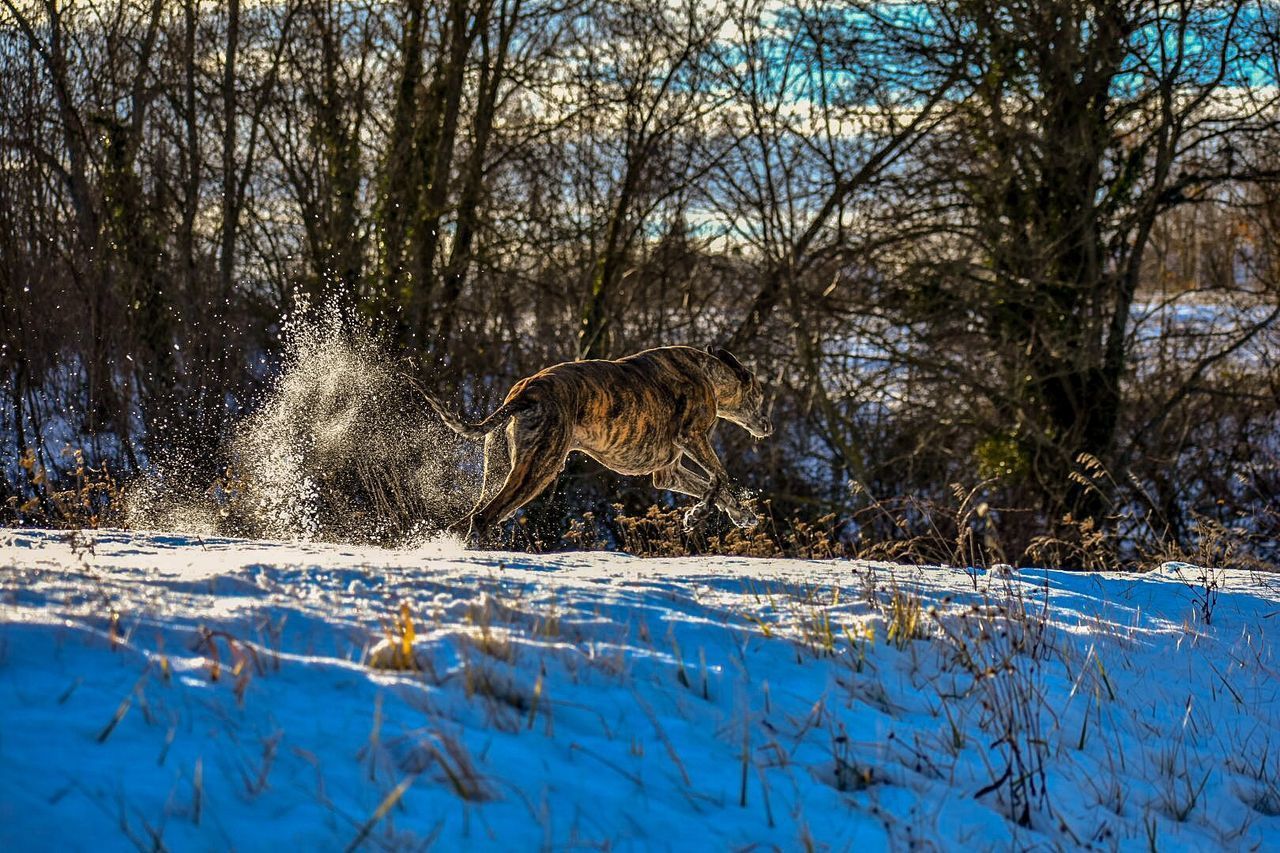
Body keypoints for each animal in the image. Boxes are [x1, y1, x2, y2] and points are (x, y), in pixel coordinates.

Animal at [419, 343, 768, 537]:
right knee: (482, 518)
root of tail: (526, 391)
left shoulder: (668, 473)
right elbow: (720, 478)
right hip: (539, 468)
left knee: (468, 519)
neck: (707, 372)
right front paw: (697, 516)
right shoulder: (693, 437)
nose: (768, 427)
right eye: (760, 395)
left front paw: (741, 515)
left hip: (500, 469)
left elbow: (717, 487)